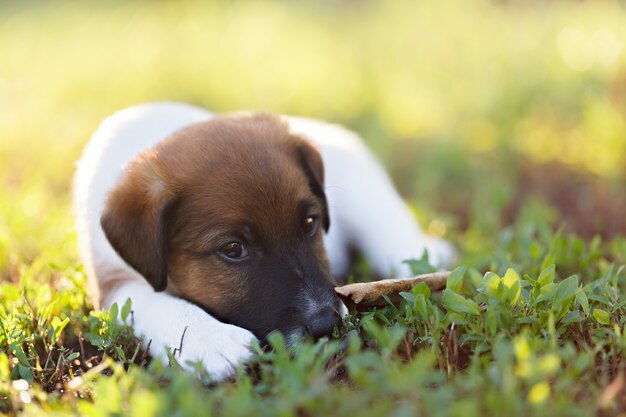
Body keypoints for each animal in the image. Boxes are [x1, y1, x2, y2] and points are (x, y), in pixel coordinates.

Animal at [73, 101, 454, 380]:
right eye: (232, 250)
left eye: (311, 223)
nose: (326, 325)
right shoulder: (113, 280)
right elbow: (157, 303)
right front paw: (212, 341)